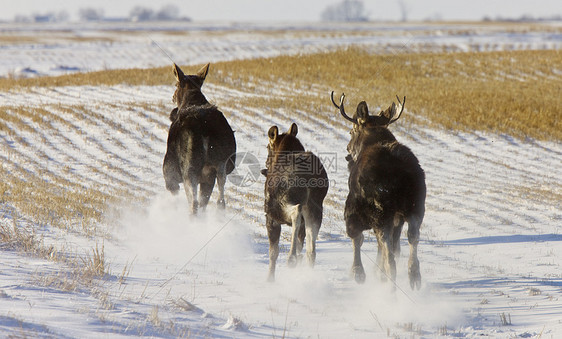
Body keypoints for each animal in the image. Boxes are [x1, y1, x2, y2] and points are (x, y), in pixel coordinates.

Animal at [161, 62, 235, 214]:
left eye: (176, 84)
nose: (172, 96)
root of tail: (205, 130)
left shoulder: (170, 174)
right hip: (218, 167)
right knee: (219, 201)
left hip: (189, 170)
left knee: (193, 204)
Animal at [262, 123, 328, 282]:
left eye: (268, 146)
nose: (266, 162)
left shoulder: (270, 217)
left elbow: (273, 252)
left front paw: (270, 279)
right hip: (316, 208)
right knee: (311, 250)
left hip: (282, 205)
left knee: (296, 212)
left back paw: (291, 259)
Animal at [328, 92, 424, 290]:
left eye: (351, 131)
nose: (348, 151)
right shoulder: (398, 217)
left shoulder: (353, 209)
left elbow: (357, 238)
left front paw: (358, 272)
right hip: (415, 206)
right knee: (411, 237)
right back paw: (414, 275)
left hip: (380, 211)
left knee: (386, 246)